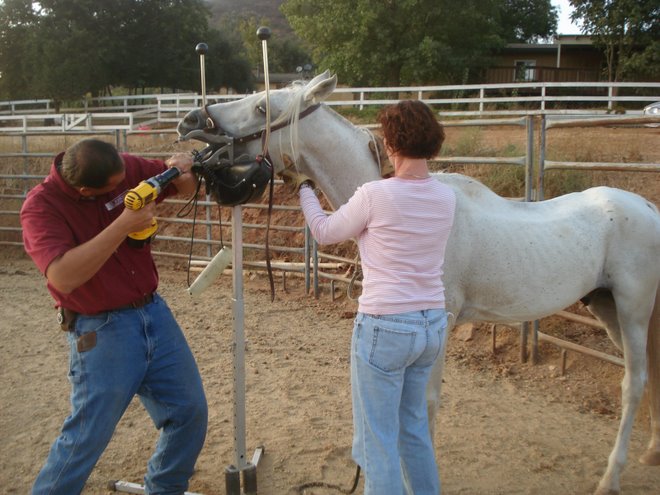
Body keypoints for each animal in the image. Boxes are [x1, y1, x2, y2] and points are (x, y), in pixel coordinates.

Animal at [178, 71, 656, 494]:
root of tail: (648, 207)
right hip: (607, 308)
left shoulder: (440, 324)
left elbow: (423, 406)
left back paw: (611, 477)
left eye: (263, 107)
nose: (191, 121)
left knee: (634, 383)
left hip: (632, 313)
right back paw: (650, 453)